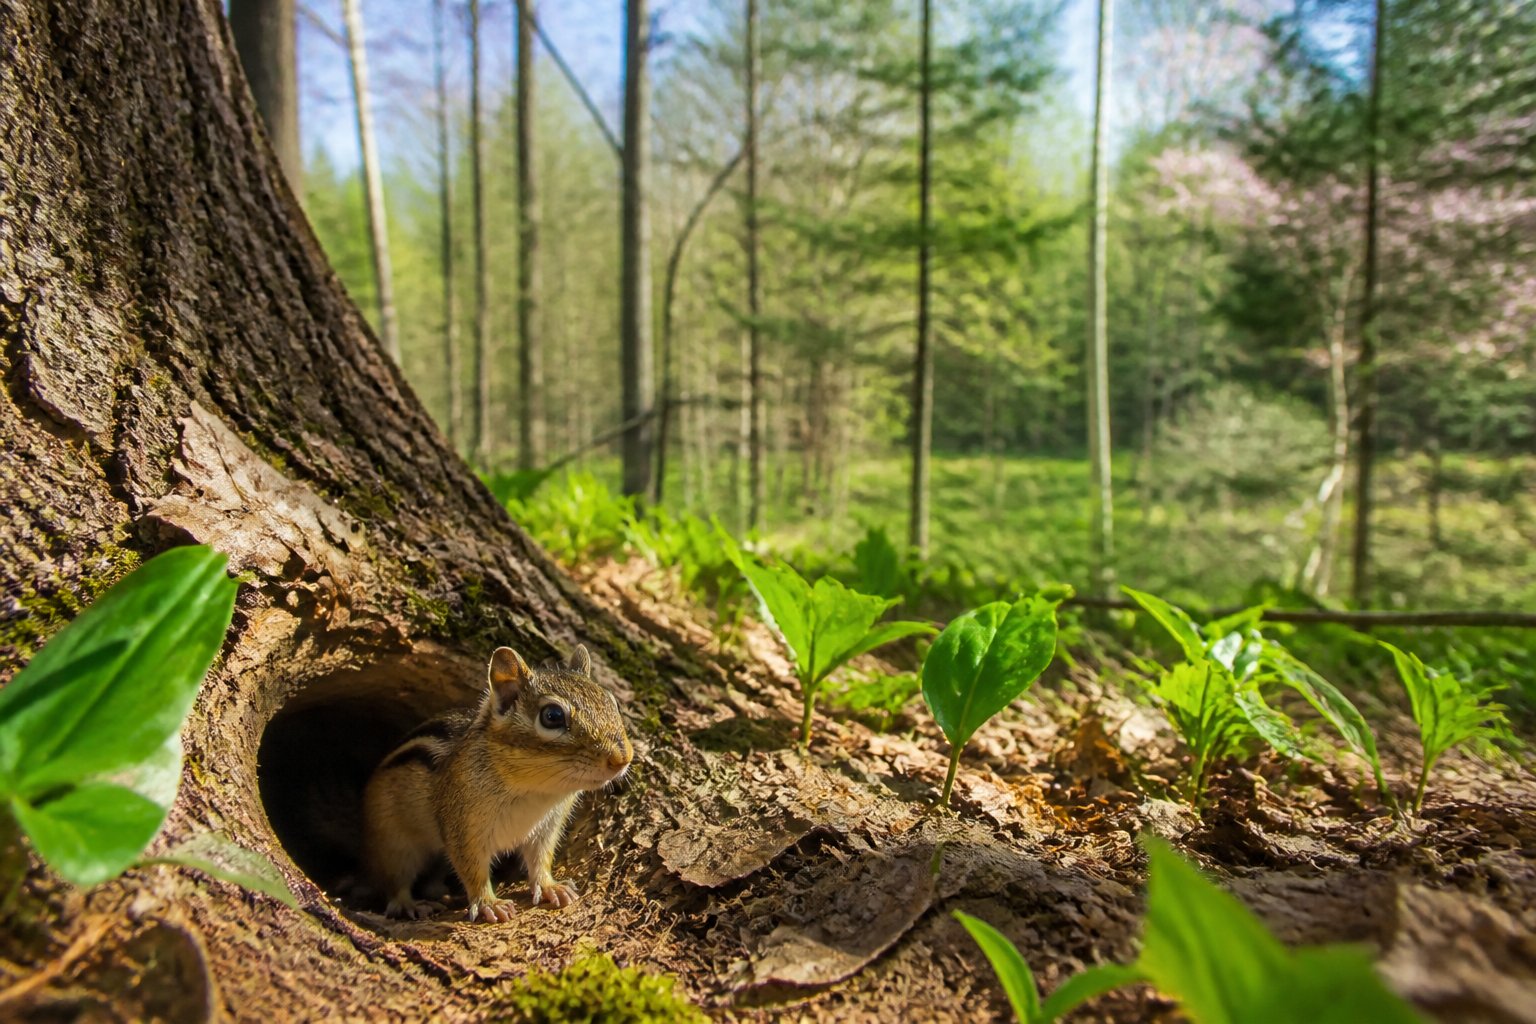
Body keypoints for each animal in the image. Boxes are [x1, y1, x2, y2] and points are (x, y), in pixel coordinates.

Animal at [360, 644, 633, 923]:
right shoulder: (463, 828)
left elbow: (540, 859)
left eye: (612, 702)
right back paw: (409, 904)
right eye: (553, 716)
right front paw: (488, 903)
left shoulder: (547, 827)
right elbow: (473, 870)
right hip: (392, 841)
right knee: (394, 880)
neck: (535, 790)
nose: (623, 758)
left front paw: (550, 887)